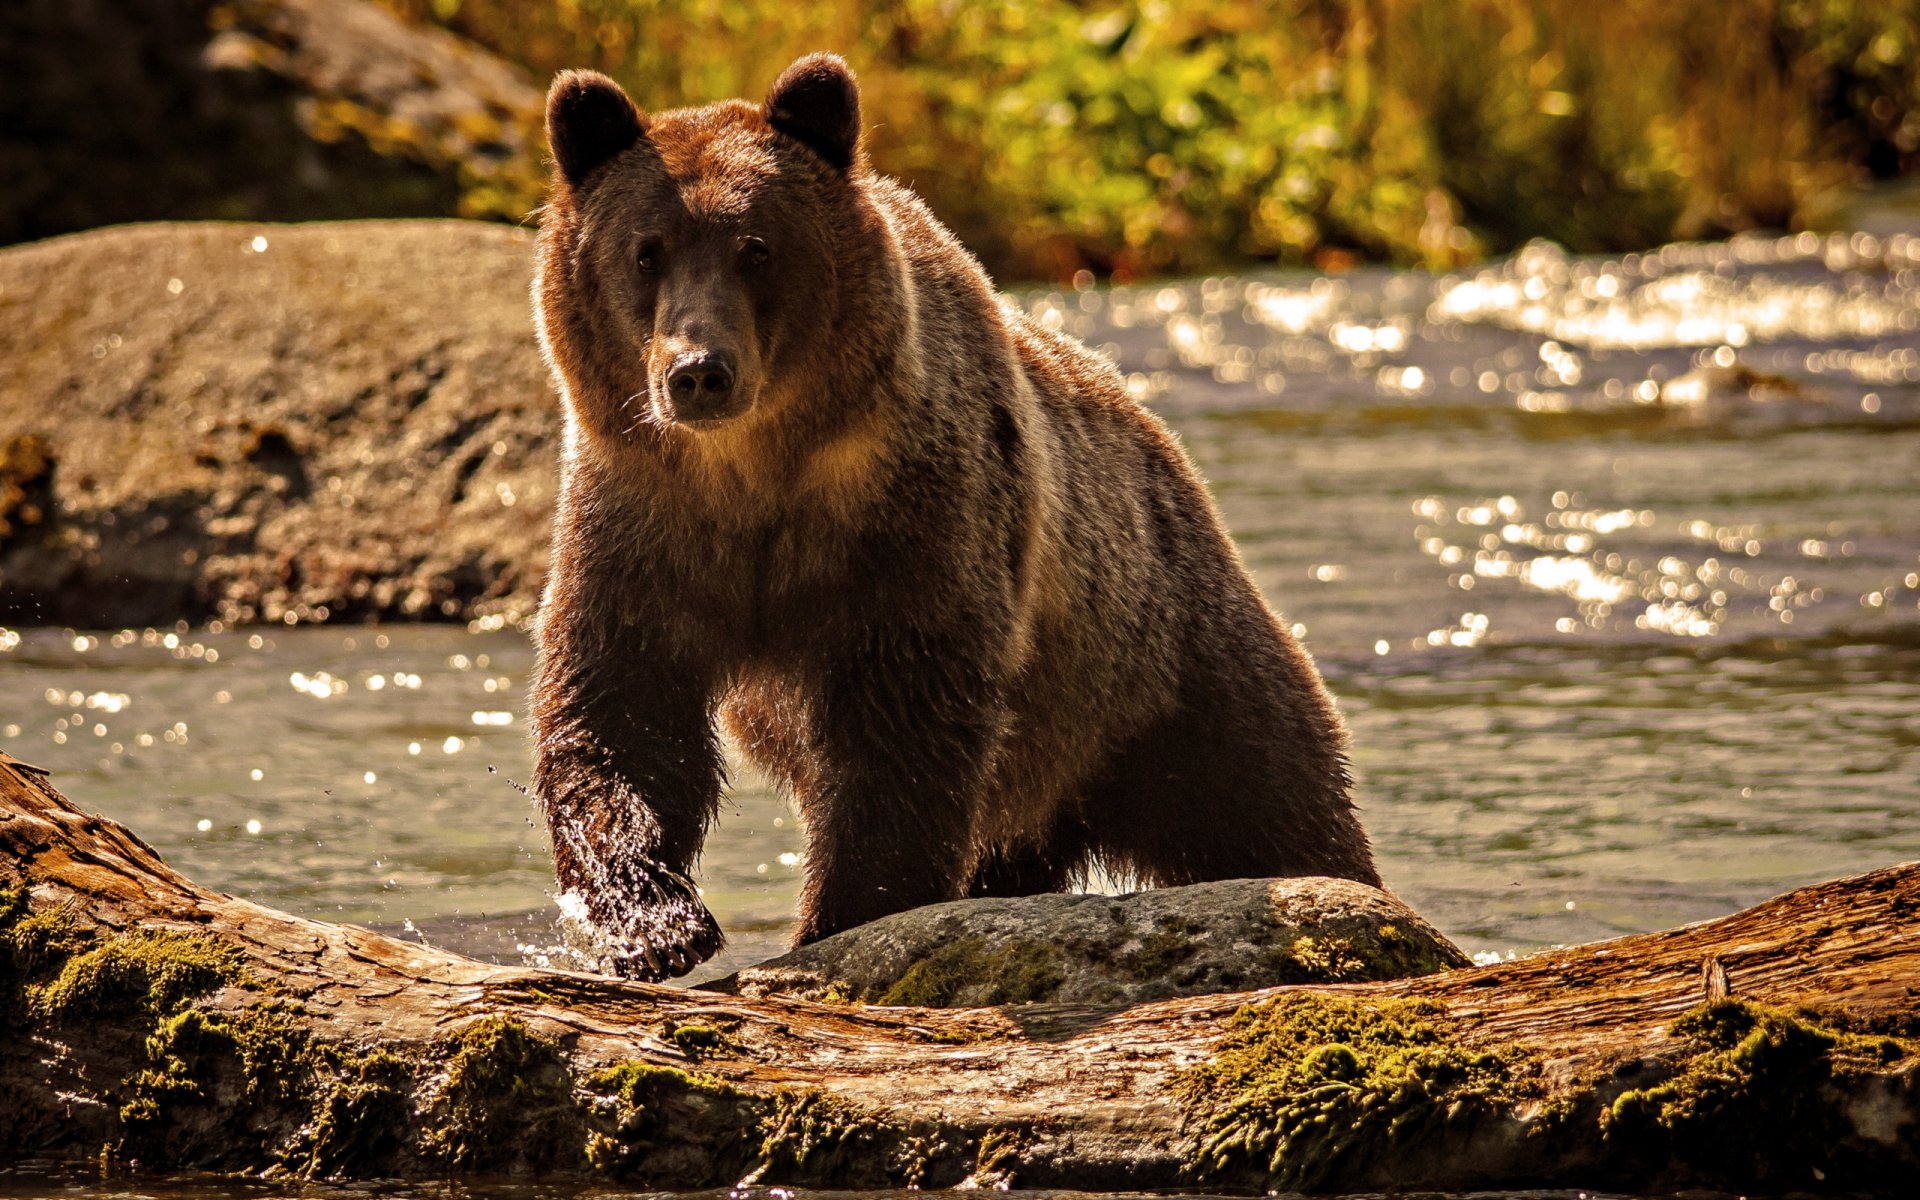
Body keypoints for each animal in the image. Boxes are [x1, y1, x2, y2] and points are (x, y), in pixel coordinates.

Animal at [529, 53, 1381, 981]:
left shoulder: (913, 522)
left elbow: (902, 728)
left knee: (1268, 797)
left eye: (756, 247)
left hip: (1160, 663)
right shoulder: (643, 520)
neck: (755, 473)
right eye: (645, 251)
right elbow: (622, 709)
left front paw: (839, 917)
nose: (698, 371)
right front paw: (651, 921)